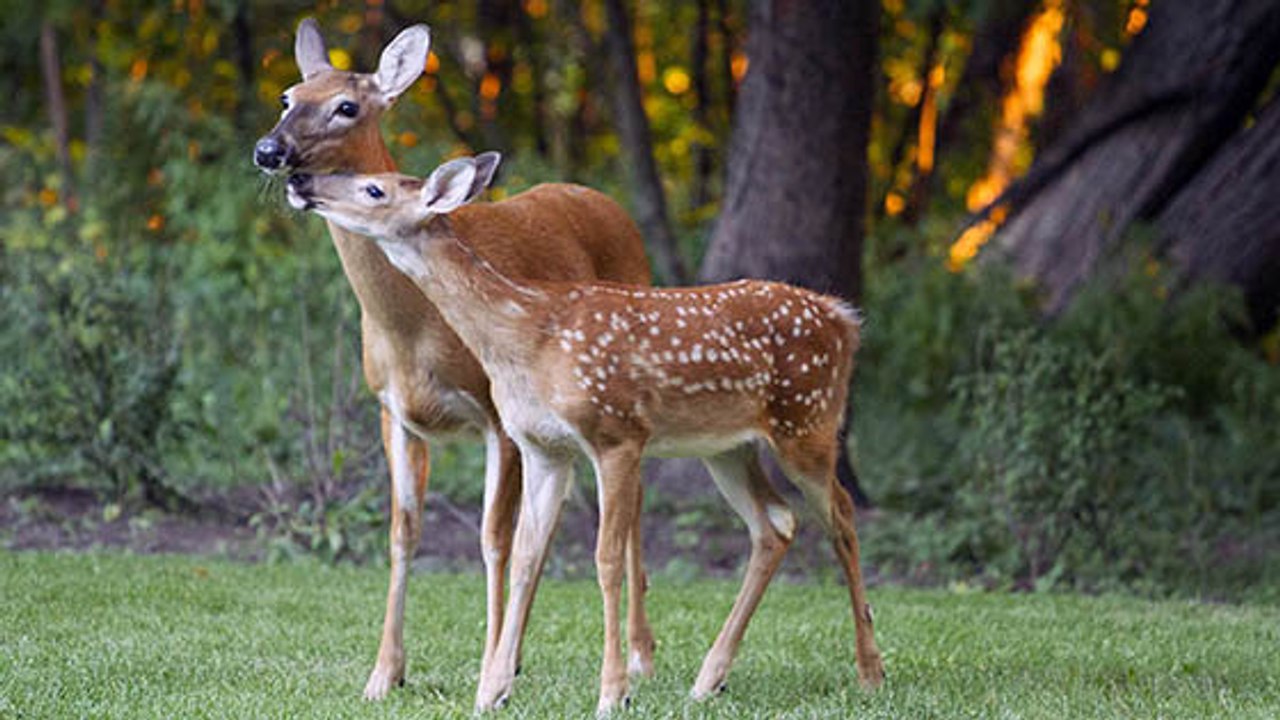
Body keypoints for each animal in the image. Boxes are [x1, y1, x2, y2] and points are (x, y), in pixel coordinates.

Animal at [253, 19, 656, 700]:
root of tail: (613, 206)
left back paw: (640, 657)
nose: (268, 150)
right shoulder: (393, 412)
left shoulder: (497, 414)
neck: (412, 328)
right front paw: (385, 673)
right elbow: (403, 533)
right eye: (288, 95)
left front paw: (489, 666)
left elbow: (493, 539)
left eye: (346, 106)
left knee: (626, 514)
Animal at [284, 155, 886, 714]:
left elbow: (605, 560)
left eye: (374, 189)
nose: (300, 180)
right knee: (775, 523)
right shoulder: (543, 447)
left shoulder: (616, 433)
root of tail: (844, 320)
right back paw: (709, 678)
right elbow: (527, 557)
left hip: (807, 420)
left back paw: (869, 672)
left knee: (842, 515)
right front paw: (493, 690)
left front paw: (613, 693)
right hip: (728, 447)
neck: (526, 337)